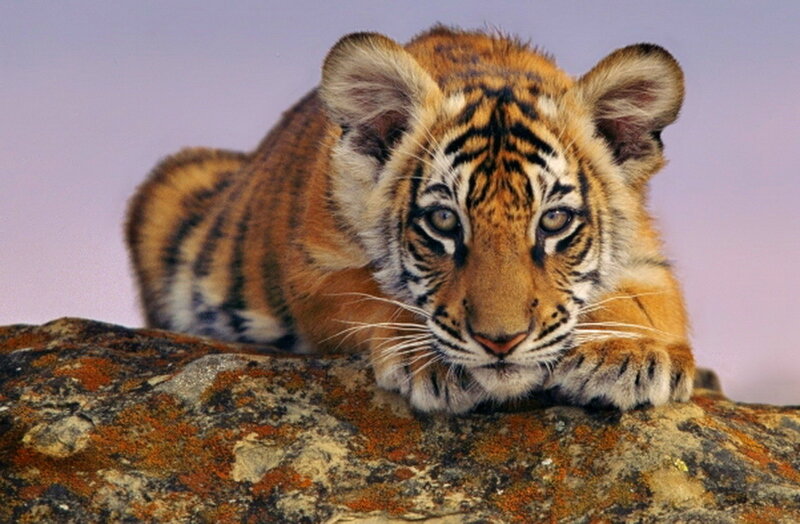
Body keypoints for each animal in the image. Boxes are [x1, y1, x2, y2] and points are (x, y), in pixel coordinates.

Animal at [126, 26, 695, 414]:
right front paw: (433, 360)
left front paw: (627, 353)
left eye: (553, 222)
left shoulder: (647, 258)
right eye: (443, 221)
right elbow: (371, 294)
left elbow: (644, 303)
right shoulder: (314, 269)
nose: (501, 343)